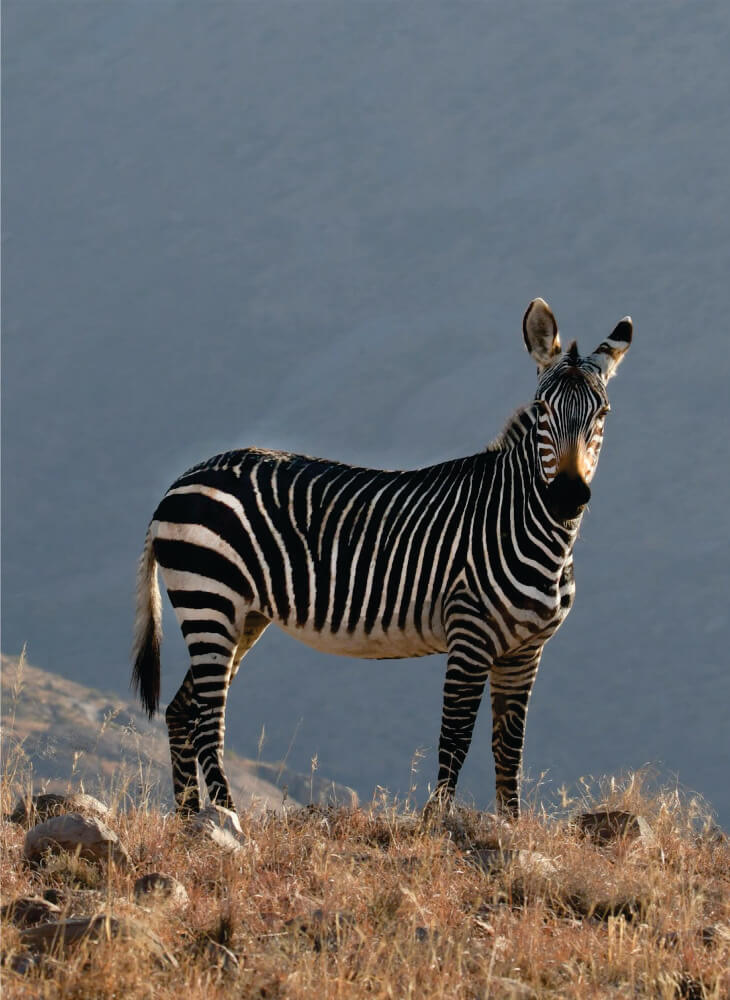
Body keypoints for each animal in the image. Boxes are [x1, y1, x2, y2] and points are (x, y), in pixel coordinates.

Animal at [132, 300, 632, 816]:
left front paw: (510, 825)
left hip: (242, 616)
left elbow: (509, 747)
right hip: (209, 599)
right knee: (207, 719)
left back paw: (193, 820)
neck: (529, 528)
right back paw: (227, 817)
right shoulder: (469, 636)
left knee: (182, 710)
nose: (568, 496)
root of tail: (180, 482)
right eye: (541, 410)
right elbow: (455, 738)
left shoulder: (526, 651)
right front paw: (438, 821)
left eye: (603, 413)